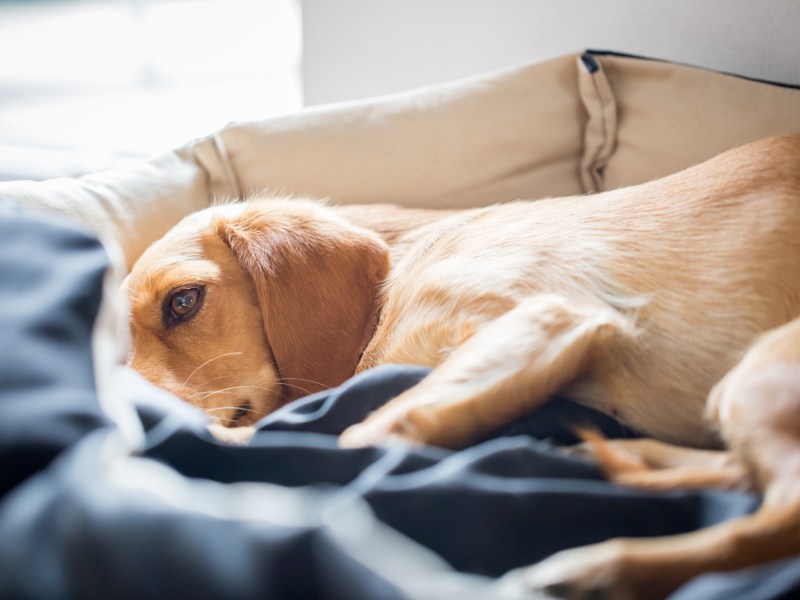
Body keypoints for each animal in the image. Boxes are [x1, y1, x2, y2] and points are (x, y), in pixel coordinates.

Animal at [123, 134, 800, 596]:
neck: (398, 273)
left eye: (183, 301)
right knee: (741, 479)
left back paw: (601, 568)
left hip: (758, 375)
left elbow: (358, 432)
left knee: (774, 517)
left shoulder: (545, 319)